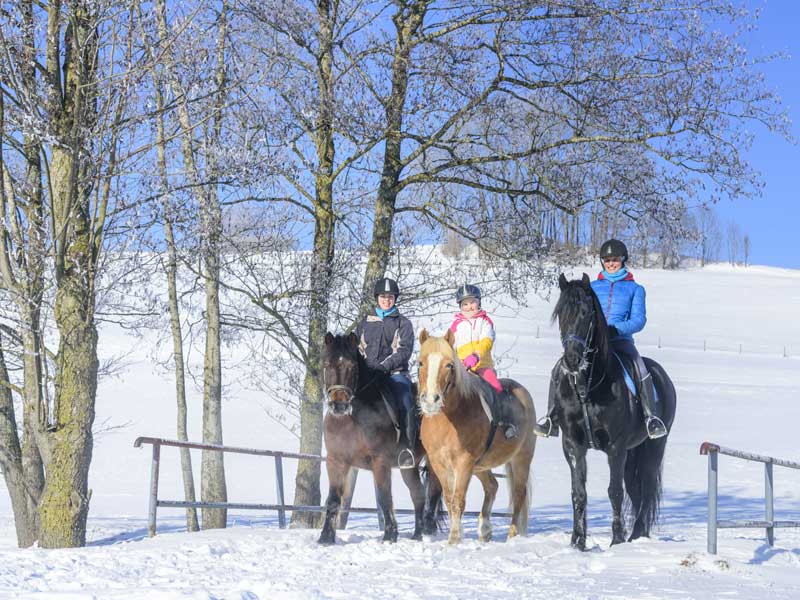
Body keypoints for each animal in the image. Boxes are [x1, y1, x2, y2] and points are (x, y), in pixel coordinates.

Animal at [318, 330, 444, 548]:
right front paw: (325, 537)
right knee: (418, 495)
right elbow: (333, 499)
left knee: (433, 493)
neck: (352, 419)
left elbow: (385, 498)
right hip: (408, 466)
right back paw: (417, 534)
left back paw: (428, 530)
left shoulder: (380, 462)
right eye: (327, 364)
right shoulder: (336, 461)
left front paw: (390, 536)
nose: (339, 405)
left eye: (352, 366)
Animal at [416, 328, 536, 544]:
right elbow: (449, 499)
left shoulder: (464, 463)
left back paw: (512, 536)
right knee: (492, 486)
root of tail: (524, 394)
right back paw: (485, 531)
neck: (449, 419)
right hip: (480, 466)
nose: (431, 401)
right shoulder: (439, 463)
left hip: (521, 459)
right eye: (420, 363)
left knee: (518, 495)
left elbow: (458, 500)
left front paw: (454, 539)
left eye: (449, 364)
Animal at [552, 274, 680, 552]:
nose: (572, 360)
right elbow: (578, 492)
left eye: (586, 313)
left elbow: (614, 492)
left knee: (645, 486)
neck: (586, 388)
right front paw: (578, 542)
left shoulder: (616, 447)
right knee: (636, 489)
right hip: (634, 451)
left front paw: (617, 540)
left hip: (654, 446)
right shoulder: (573, 445)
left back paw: (636, 536)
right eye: (559, 314)